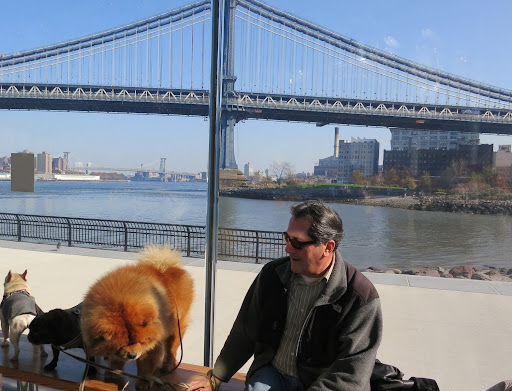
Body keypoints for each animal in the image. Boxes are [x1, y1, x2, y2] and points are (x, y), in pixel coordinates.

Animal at [82, 247, 194, 390]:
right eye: (122, 344)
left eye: (140, 341)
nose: (132, 355)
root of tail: (169, 267)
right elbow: (116, 359)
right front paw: (112, 373)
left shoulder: (151, 345)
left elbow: (145, 364)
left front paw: (143, 382)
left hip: (176, 327)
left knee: (171, 349)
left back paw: (168, 365)